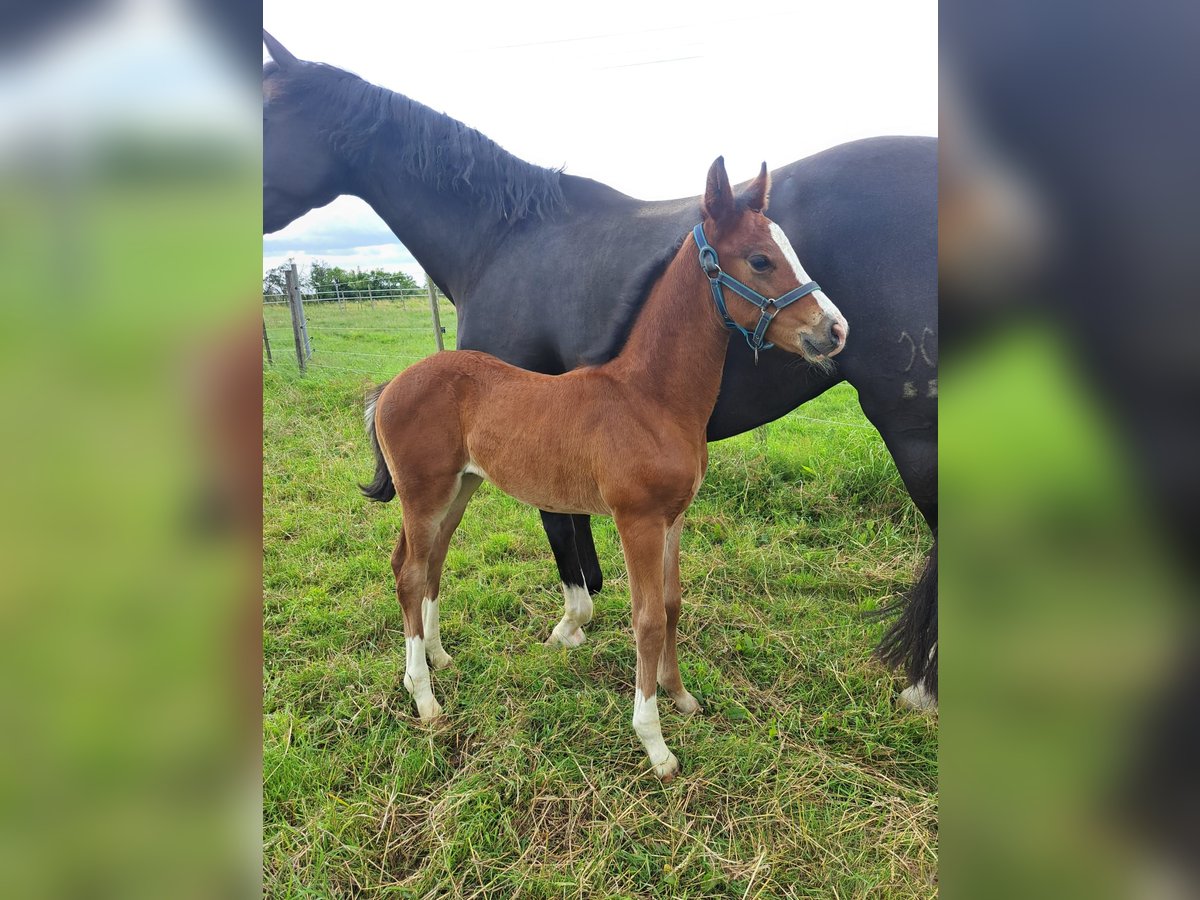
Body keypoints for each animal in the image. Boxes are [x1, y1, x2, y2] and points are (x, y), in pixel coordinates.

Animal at [260, 31, 936, 710]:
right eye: (762, 259)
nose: (836, 328)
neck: (500, 236)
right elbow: (574, 538)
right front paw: (578, 630)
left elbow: (576, 539)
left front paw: (583, 634)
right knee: (418, 563)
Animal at [360, 158, 849, 777]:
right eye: (760, 259)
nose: (835, 330)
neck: (650, 398)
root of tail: (391, 385)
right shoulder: (635, 519)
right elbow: (645, 619)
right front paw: (655, 744)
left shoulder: (673, 518)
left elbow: (671, 605)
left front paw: (681, 696)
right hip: (422, 494)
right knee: (409, 573)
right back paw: (424, 699)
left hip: (459, 489)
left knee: (429, 566)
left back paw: (438, 658)